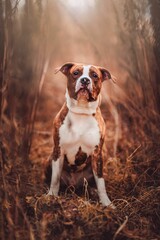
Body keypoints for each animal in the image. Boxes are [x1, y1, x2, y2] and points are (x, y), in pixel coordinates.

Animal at [47, 62, 115, 206]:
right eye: (76, 73)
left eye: (94, 75)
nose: (85, 80)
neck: (81, 112)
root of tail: (73, 184)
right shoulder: (58, 151)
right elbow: (55, 179)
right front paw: (51, 196)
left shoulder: (97, 154)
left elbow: (101, 182)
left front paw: (106, 203)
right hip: (50, 159)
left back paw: (93, 192)